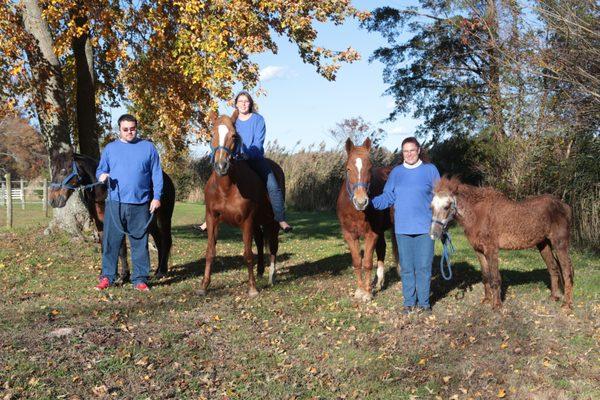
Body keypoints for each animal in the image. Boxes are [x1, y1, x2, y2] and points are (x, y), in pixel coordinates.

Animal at [48, 145, 175, 282]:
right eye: (53, 170)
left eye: (63, 171)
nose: (53, 200)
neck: (104, 191)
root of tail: (167, 179)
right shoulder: (100, 223)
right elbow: (105, 247)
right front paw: (106, 274)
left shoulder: (118, 223)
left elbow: (122, 249)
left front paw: (123, 276)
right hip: (149, 221)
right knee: (159, 241)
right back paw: (157, 270)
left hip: (164, 218)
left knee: (166, 240)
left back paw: (162, 272)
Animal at [199, 109, 284, 296]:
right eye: (212, 134)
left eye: (233, 136)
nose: (221, 166)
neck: (226, 187)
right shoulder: (212, 219)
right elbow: (210, 252)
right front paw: (204, 286)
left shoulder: (247, 220)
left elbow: (248, 254)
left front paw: (252, 288)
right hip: (258, 222)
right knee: (260, 241)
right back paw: (260, 272)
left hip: (271, 222)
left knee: (273, 247)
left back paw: (271, 277)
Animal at [336, 139, 396, 302]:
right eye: (348, 169)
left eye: (369, 169)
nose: (361, 202)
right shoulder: (350, 235)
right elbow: (357, 262)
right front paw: (359, 290)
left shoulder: (371, 234)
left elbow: (368, 262)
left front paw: (367, 293)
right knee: (382, 249)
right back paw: (379, 282)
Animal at [428, 177, 576, 310]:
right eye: (431, 207)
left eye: (447, 206)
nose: (434, 233)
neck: (478, 215)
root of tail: (565, 207)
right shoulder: (479, 251)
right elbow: (486, 276)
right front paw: (487, 300)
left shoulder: (491, 250)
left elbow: (495, 278)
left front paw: (497, 305)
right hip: (543, 245)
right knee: (553, 268)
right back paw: (554, 297)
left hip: (559, 244)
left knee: (566, 271)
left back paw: (567, 304)